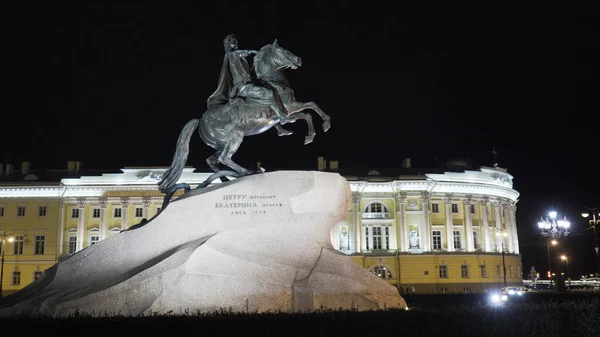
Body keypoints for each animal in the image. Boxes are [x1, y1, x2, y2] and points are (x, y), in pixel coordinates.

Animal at [157, 40, 330, 201]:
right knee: (224, 158)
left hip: (221, 143)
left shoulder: (289, 109)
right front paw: (314, 133)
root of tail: (199, 121)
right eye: (282, 50)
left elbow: (311, 107)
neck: (274, 84)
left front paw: (315, 126)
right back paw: (247, 172)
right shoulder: (289, 109)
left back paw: (225, 178)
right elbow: (308, 112)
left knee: (212, 160)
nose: (298, 60)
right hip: (236, 137)